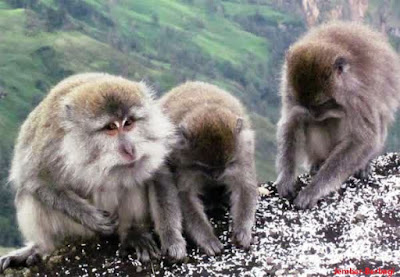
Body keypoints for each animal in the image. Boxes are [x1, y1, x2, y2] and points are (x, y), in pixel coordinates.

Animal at [0, 72, 187, 270]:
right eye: (111, 127)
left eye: (128, 123)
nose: (130, 149)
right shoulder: (49, 147)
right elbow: (36, 181)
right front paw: (90, 217)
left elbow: (158, 175)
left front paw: (171, 237)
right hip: (76, 230)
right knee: (27, 195)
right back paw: (40, 248)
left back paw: (131, 233)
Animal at [160, 81, 260, 254]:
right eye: (204, 166)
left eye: (228, 163)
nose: (216, 176)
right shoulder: (181, 160)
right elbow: (186, 195)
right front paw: (207, 238)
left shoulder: (243, 151)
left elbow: (244, 186)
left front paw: (242, 230)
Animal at [276, 21, 400, 207]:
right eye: (301, 102)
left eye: (321, 103)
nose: (313, 114)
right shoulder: (287, 86)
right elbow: (291, 122)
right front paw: (286, 177)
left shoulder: (358, 96)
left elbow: (363, 139)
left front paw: (312, 190)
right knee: (312, 124)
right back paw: (318, 162)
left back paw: (363, 164)